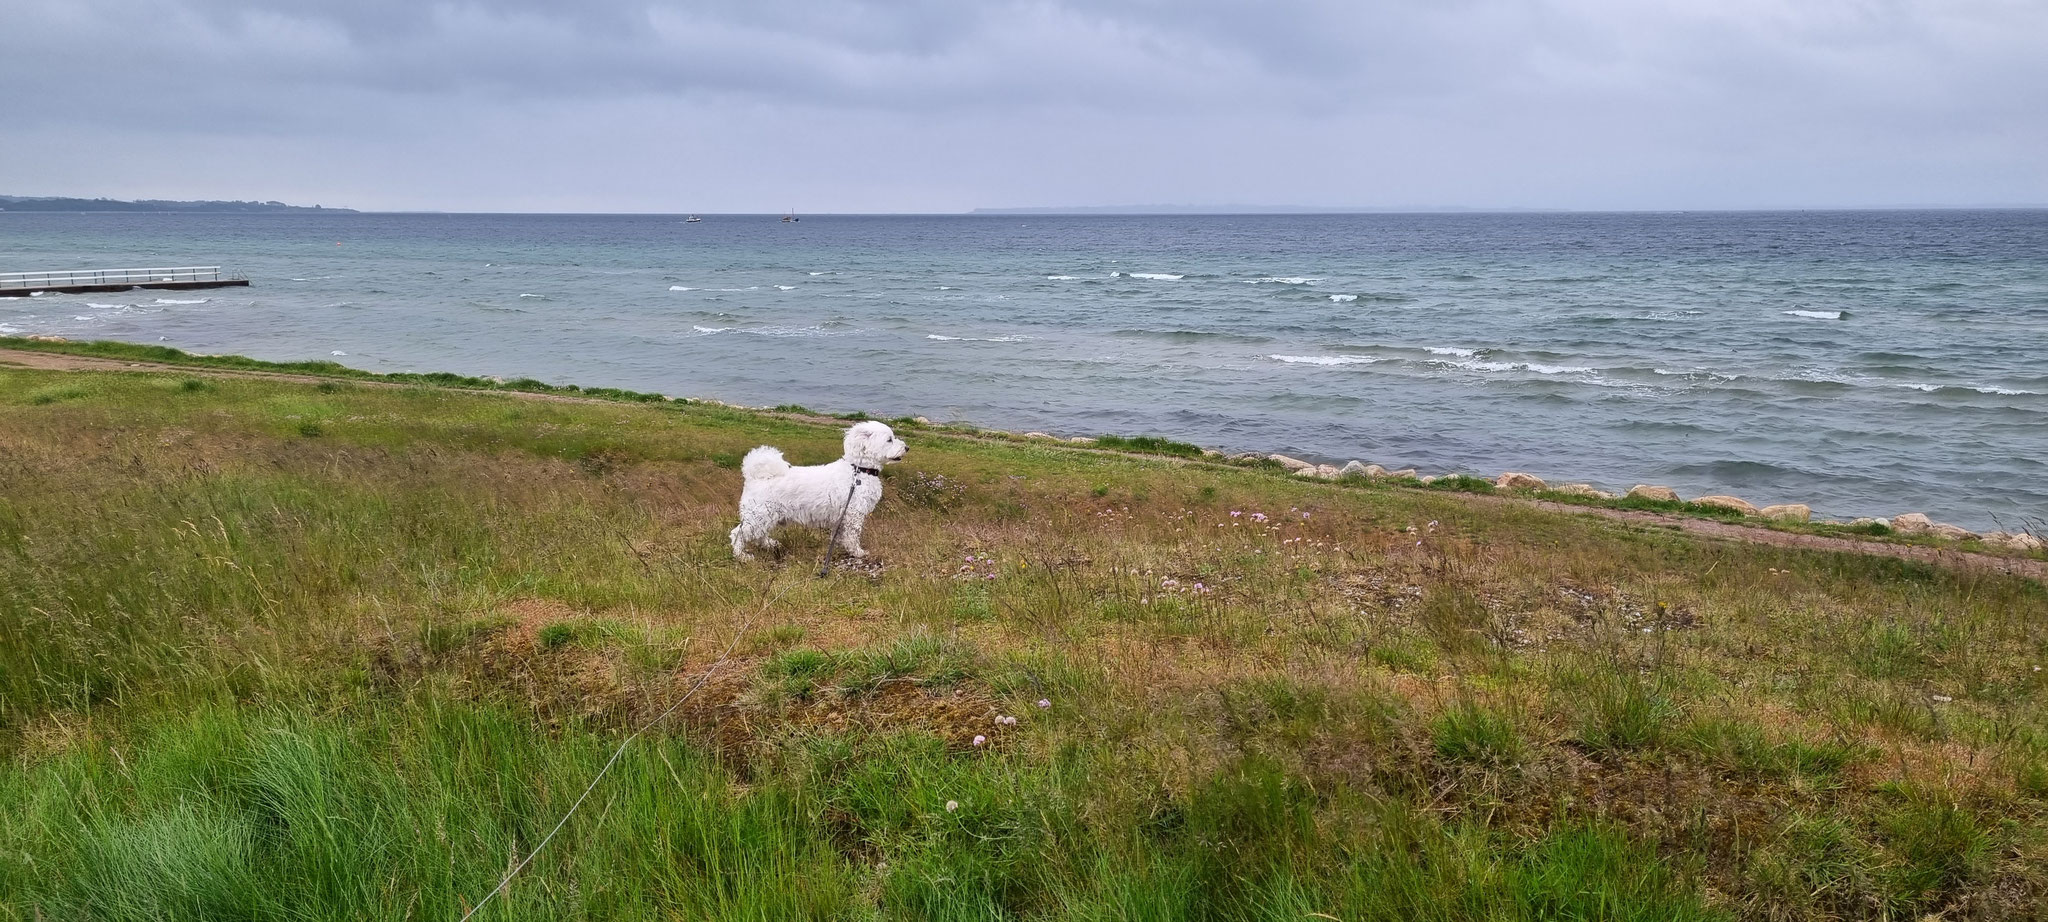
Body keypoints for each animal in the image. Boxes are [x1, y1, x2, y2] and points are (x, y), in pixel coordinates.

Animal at [729, 420, 905, 561]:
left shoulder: (842, 517)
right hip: (759, 514)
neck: (859, 470)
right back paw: (742, 555)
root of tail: (755, 476)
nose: (907, 447)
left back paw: (770, 544)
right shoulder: (853, 514)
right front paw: (857, 552)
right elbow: (852, 536)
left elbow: (839, 535)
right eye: (889, 439)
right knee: (738, 534)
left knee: (759, 534)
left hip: (766, 516)